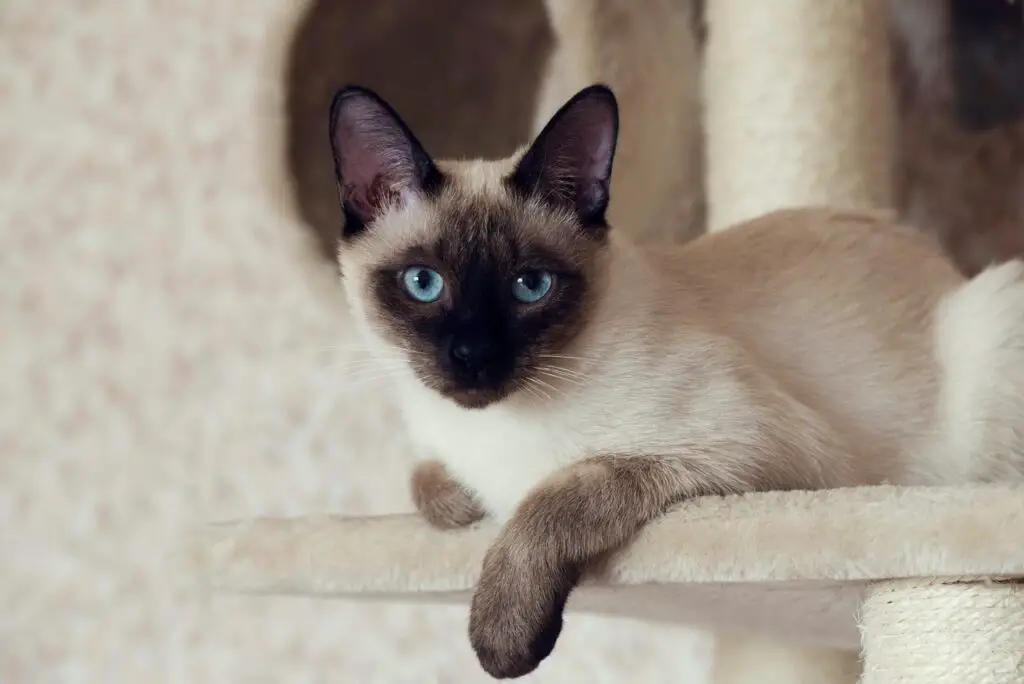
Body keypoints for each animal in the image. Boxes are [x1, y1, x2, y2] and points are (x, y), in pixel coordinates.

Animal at [325, 81, 1024, 679]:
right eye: (423, 283)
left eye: (530, 286)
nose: (472, 356)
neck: (491, 436)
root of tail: (943, 264)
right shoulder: (437, 454)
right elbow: (429, 487)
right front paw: (465, 505)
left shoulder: (763, 454)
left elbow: (558, 494)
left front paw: (503, 637)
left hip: (992, 316)